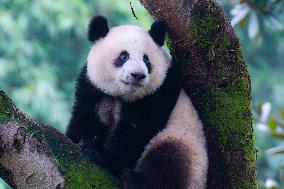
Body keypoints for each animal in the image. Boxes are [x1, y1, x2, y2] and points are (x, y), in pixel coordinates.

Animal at [67, 15, 209, 188]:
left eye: (146, 59)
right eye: (123, 56)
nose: (137, 75)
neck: (123, 95)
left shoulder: (160, 91)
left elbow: (136, 131)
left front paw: (100, 155)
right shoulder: (92, 88)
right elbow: (85, 118)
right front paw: (84, 142)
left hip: (188, 145)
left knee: (170, 157)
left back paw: (135, 179)